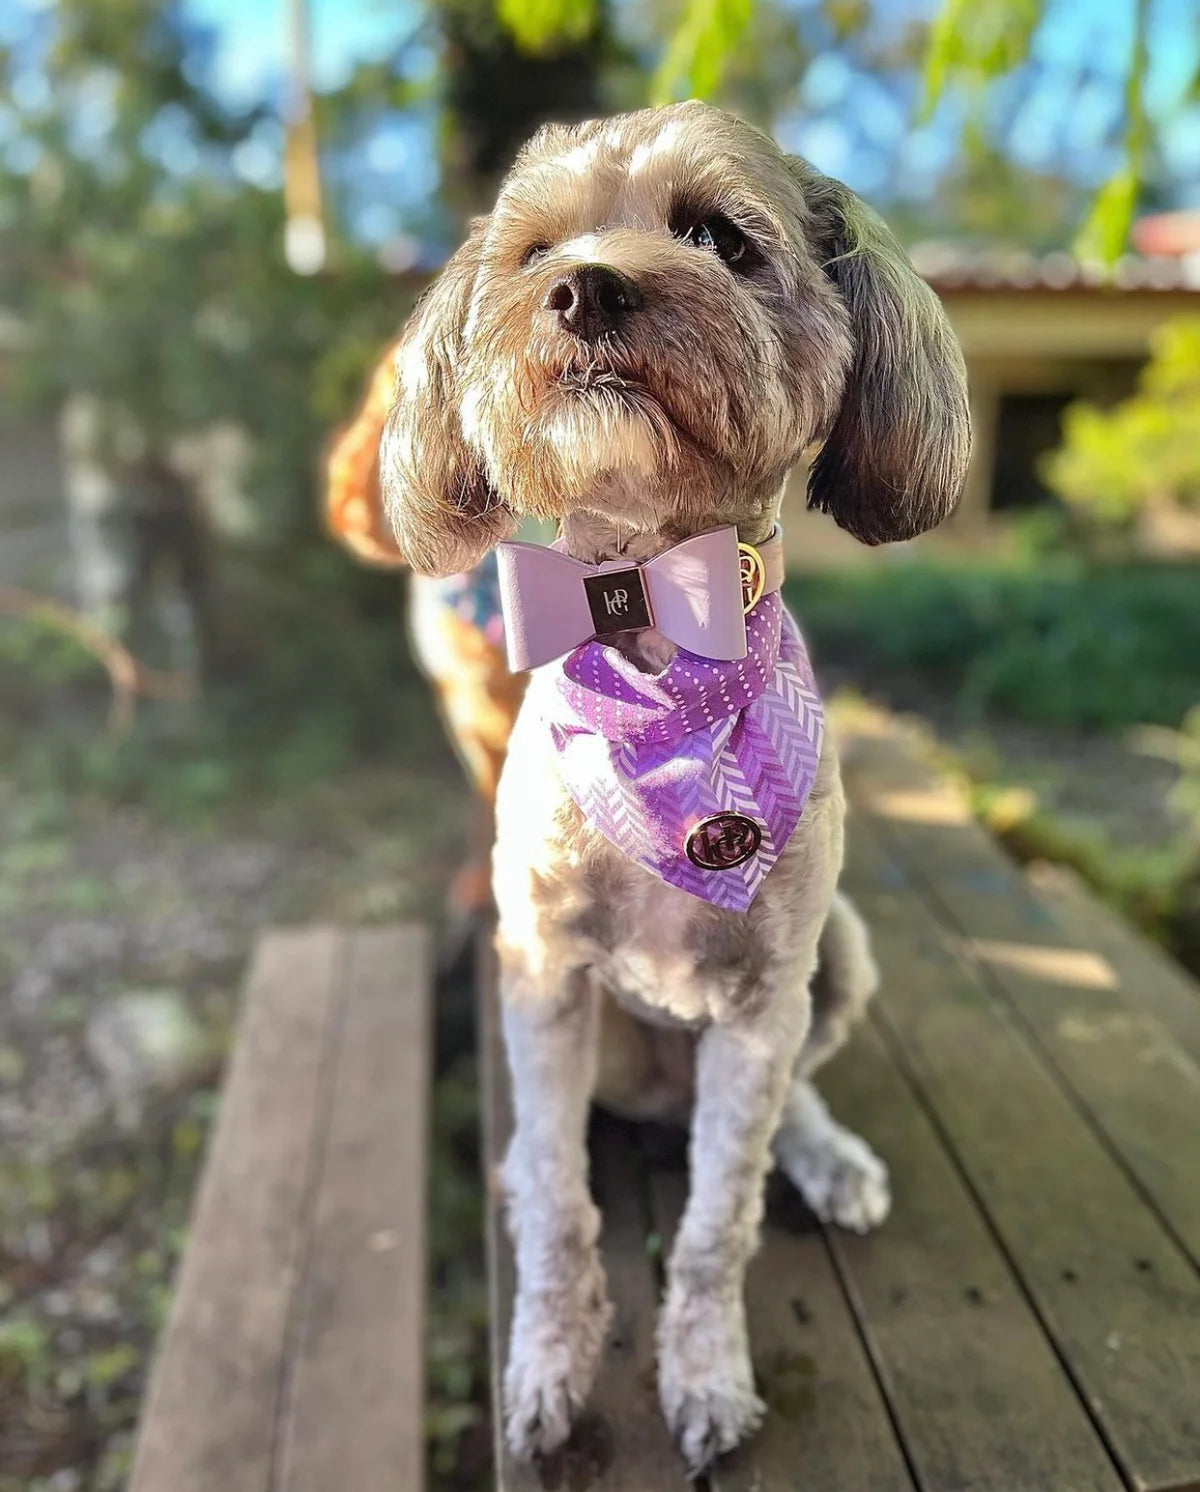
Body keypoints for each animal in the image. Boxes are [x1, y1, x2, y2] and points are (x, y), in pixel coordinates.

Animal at [379, 102, 973, 1468]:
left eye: (719, 238)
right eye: (533, 248)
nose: (587, 287)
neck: (654, 611)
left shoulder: (760, 1008)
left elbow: (716, 1226)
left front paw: (704, 1376)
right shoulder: (542, 974)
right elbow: (560, 1206)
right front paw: (547, 1368)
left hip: (835, 959)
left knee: (791, 1103)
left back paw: (828, 1156)